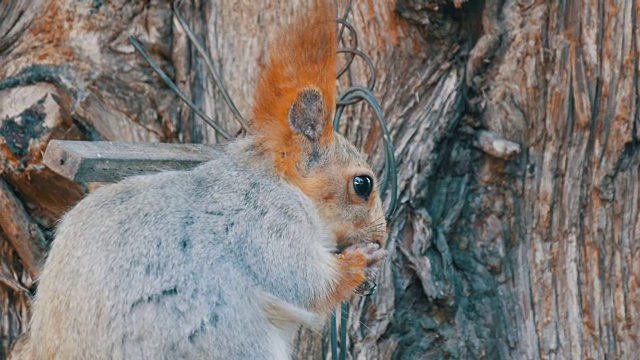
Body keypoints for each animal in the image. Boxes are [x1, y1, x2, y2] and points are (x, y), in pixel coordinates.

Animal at [12, 1, 388, 358]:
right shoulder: (265, 220)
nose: (382, 238)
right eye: (362, 185)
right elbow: (304, 280)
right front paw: (362, 260)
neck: (282, 182)